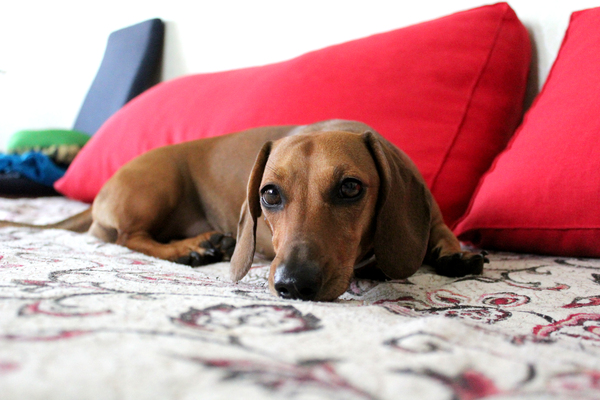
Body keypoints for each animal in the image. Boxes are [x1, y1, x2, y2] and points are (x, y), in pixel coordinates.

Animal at [0, 120, 488, 302]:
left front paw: (455, 252)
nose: (293, 284)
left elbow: (442, 232)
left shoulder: (431, 216)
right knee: (128, 237)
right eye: (269, 195)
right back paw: (194, 247)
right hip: (158, 184)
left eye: (351, 187)